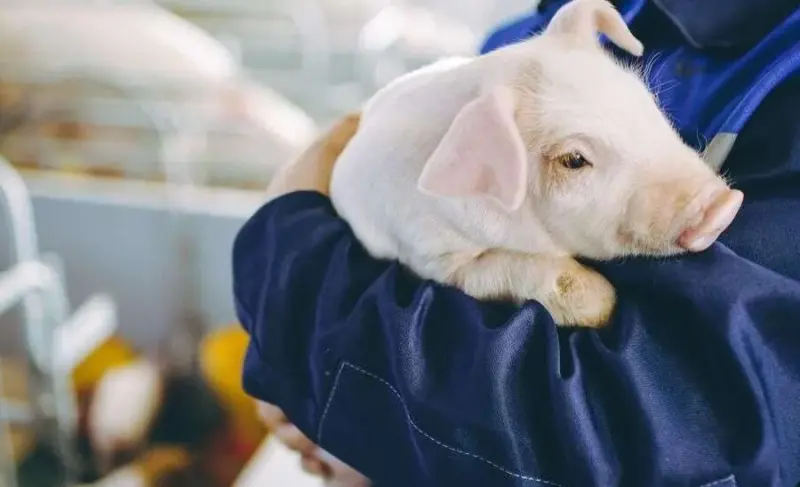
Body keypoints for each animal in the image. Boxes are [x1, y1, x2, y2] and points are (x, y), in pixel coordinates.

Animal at [330, 0, 744, 328]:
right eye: (574, 160)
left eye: (645, 100)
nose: (724, 204)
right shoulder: (431, 255)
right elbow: (502, 273)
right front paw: (606, 303)